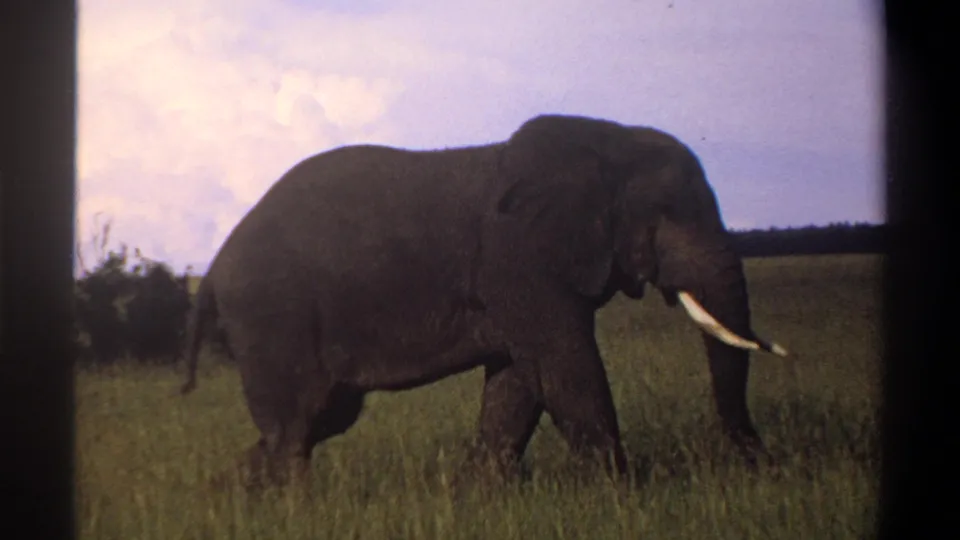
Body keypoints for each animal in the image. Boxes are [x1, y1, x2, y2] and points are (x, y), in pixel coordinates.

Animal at [179, 113, 787, 490]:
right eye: (665, 213)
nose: (767, 468)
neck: (603, 139)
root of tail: (211, 271)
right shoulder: (520, 259)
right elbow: (567, 368)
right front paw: (628, 495)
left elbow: (518, 383)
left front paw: (480, 494)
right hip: (272, 317)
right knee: (298, 425)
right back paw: (293, 510)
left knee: (319, 419)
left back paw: (224, 496)